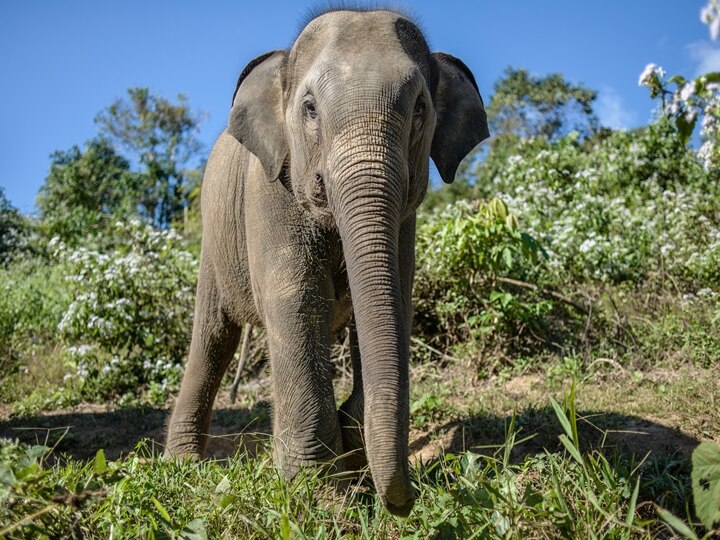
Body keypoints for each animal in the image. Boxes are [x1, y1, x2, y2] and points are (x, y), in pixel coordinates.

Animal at [165, 7, 486, 516]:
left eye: (420, 108)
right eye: (310, 108)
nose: (405, 503)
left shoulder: (406, 219)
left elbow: (393, 299)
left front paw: (353, 464)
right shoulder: (270, 191)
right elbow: (297, 301)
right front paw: (320, 495)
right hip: (215, 240)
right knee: (214, 336)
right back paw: (181, 467)